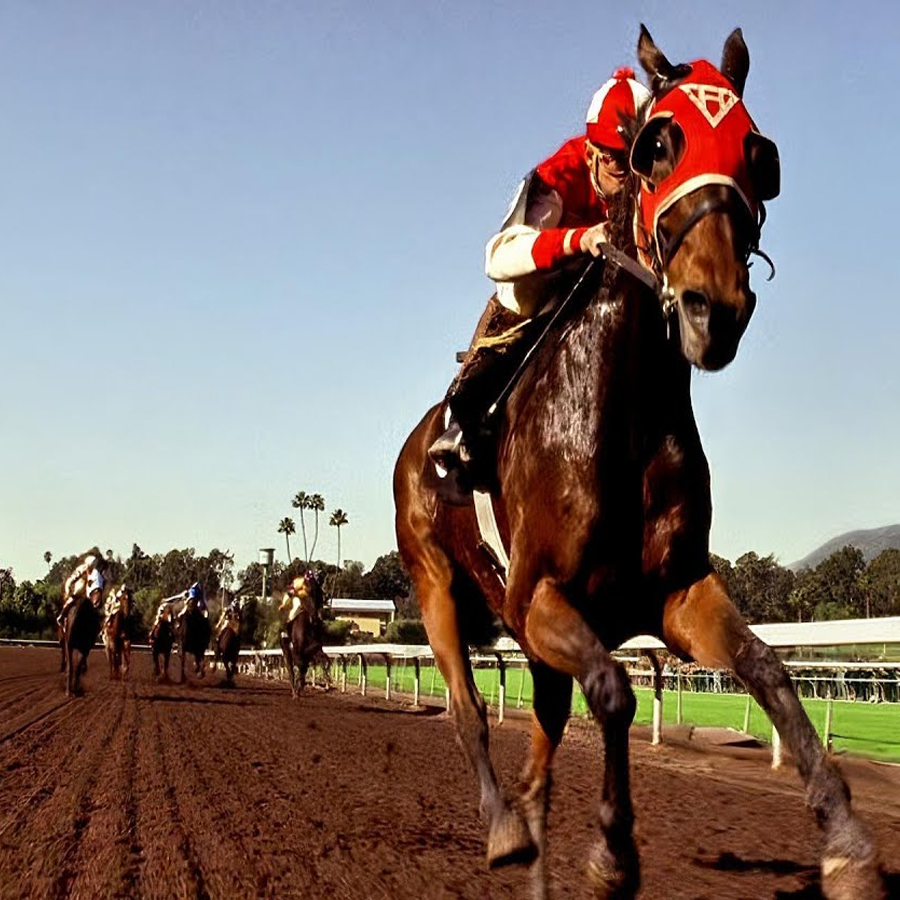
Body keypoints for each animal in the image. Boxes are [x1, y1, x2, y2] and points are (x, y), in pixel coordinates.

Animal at [393, 26, 883, 900]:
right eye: (656, 145)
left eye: (760, 154)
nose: (714, 308)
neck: (618, 419)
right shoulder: (539, 597)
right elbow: (616, 692)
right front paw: (612, 853)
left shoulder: (675, 593)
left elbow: (768, 669)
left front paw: (848, 843)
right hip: (437, 580)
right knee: (468, 710)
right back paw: (504, 831)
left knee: (542, 752)